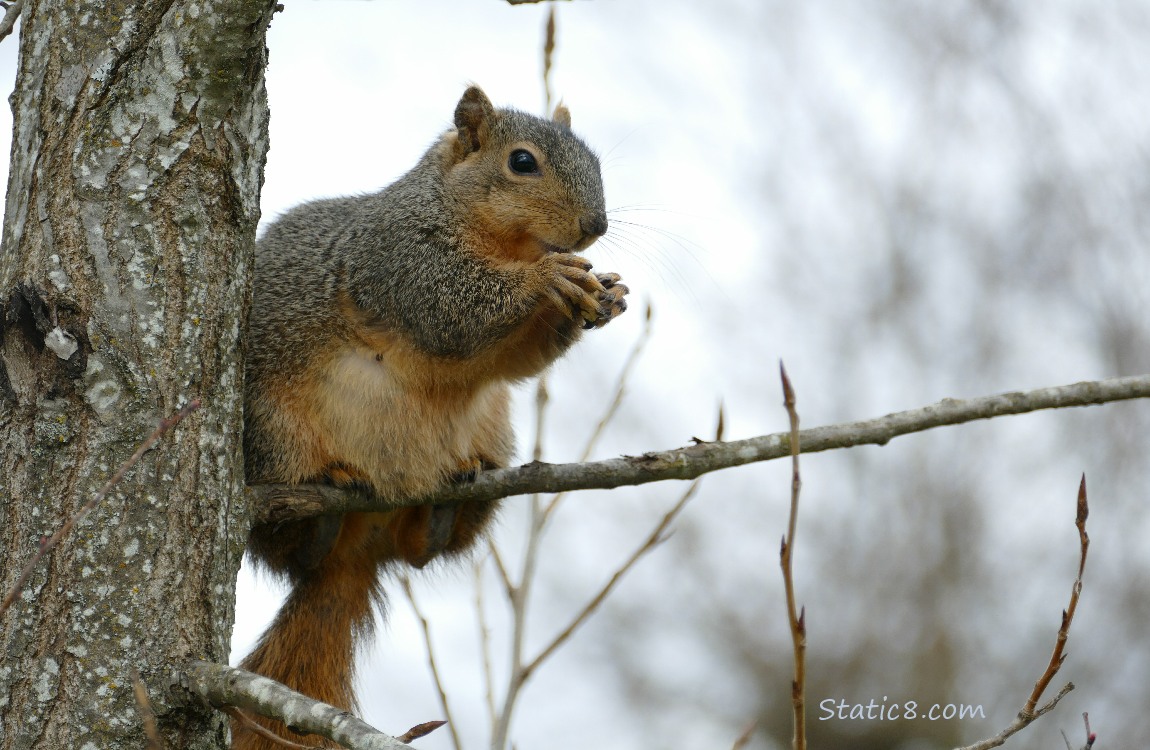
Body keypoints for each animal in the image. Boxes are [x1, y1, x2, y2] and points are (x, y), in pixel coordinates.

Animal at [233, 86, 628, 749]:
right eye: (523, 162)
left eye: (595, 160)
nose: (594, 227)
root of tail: (359, 546)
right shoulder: (397, 258)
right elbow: (450, 307)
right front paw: (547, 278)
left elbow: (513, 360)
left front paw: (607, 296)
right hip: (272, 435)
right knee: (294, 548)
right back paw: (324, 503)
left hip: (492, 429)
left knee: (421, 553)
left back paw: (451, 503)